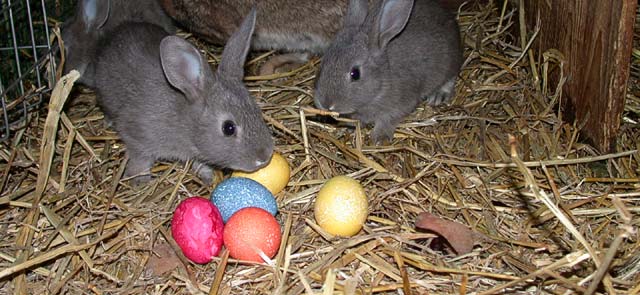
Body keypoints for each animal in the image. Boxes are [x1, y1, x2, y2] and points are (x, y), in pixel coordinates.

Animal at [92, 10, 272, 184]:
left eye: (258, 111)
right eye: (228, 128)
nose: (265, 157)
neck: (186, 122)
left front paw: (207, 176)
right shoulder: (136, 134)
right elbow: (140, 157)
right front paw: (140, 179)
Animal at [314, 0, 460, 145]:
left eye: (355, 74)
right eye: (322, 64)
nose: (325, 104)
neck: (381, 82)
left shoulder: (400, 104)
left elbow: (388, 119)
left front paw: (379, 138)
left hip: (450, 63)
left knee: (450, 78)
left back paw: (438, 96)